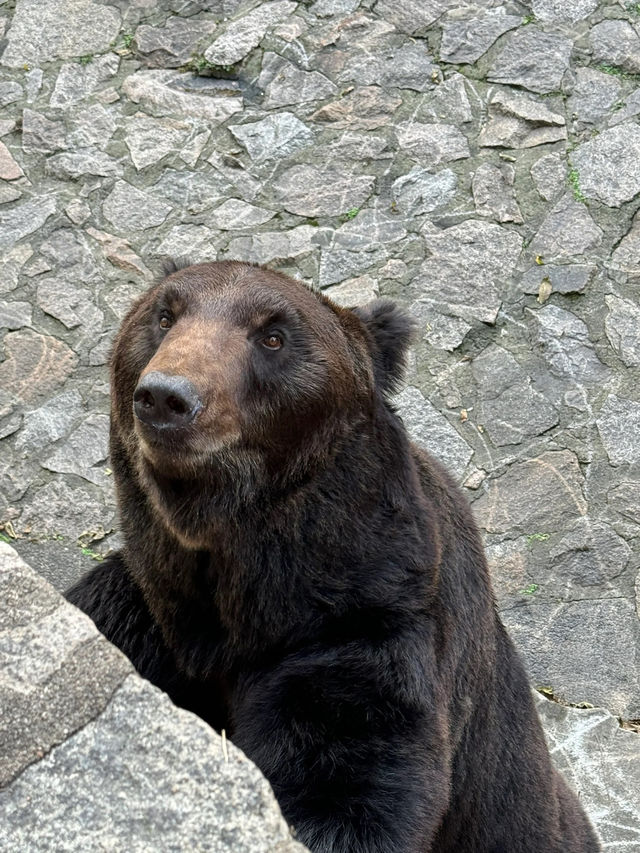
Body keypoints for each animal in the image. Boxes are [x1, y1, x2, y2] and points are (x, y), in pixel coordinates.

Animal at [66, 260, 600, 852]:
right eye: (165, 315)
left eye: (273, 336)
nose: (167, 396)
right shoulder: (146, 609)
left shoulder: (364, 624)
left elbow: (347, 779)